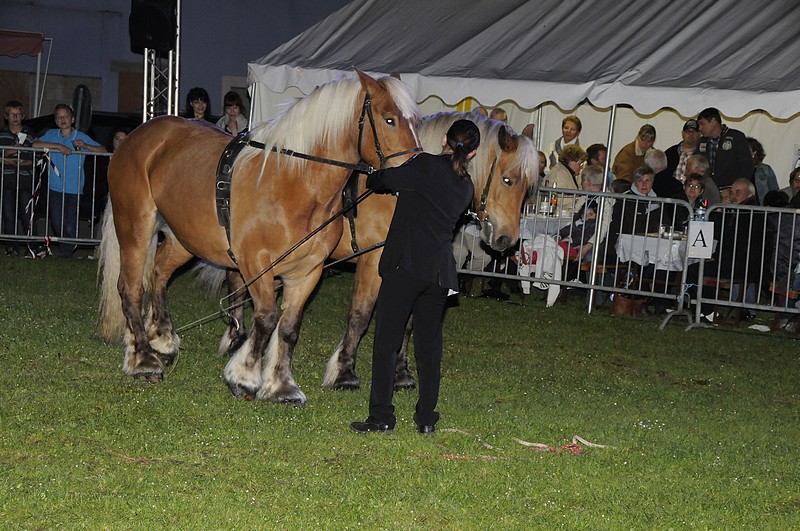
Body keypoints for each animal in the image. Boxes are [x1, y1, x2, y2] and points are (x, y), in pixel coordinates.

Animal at [97, 70, 421, 406]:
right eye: (389, 119)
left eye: (415, 121)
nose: (417, 175)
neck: (294, 183)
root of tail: (138, 135)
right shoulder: (256, 262)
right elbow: (266, 318)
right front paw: (244, 376)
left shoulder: (308, 270)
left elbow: (289, 327)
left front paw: (281, 385)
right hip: (135, 225)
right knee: (131, 288)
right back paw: (144, 359)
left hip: (184, 236)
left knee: (159, 273)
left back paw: (162, 339)